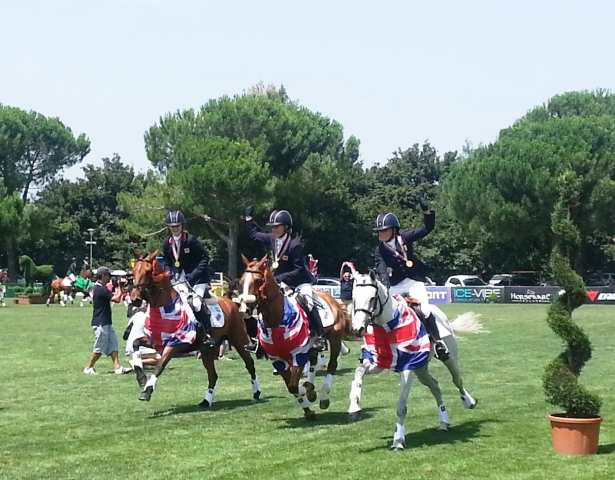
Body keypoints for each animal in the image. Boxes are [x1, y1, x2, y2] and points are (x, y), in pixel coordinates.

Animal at [131, 249, 262, 406]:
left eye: (147, 271)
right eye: (134, 271)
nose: (135, 299)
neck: (165, 306)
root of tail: (231, 302)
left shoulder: (175, 344)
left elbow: (160, 365)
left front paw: (146, 391)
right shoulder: (156, 341)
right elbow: (135, 343)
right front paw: (141, 377)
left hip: (239, 340)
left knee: (250, 364)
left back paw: (256, 393)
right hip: (206, 349)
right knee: (213, 375)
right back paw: (206, 401)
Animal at [236, 255, 348, 420]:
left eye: (258, 280)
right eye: (241, 281)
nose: (245, 310)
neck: (276, 322)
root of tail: (330, 297)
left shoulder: (298, 354)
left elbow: (294, 386)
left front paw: (310, 393)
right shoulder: (277, 360)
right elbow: (291, 387)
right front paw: (308, 409)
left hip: (334, 338)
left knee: (332, 365)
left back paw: (323, 396)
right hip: (312, 345)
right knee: (313, 361)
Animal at [346, 270, 486, 450]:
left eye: (372, 298)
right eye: (354, 298)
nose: (358, 329)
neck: (388, 326)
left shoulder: (408, 368)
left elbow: (401, 406)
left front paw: (398, 440)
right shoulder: (377, 363)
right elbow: (358, 373)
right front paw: (354, 409)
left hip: (448, 358)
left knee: (457, 380)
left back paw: (469, 402)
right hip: (421, 369)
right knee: (435, 386)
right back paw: (444, 423)